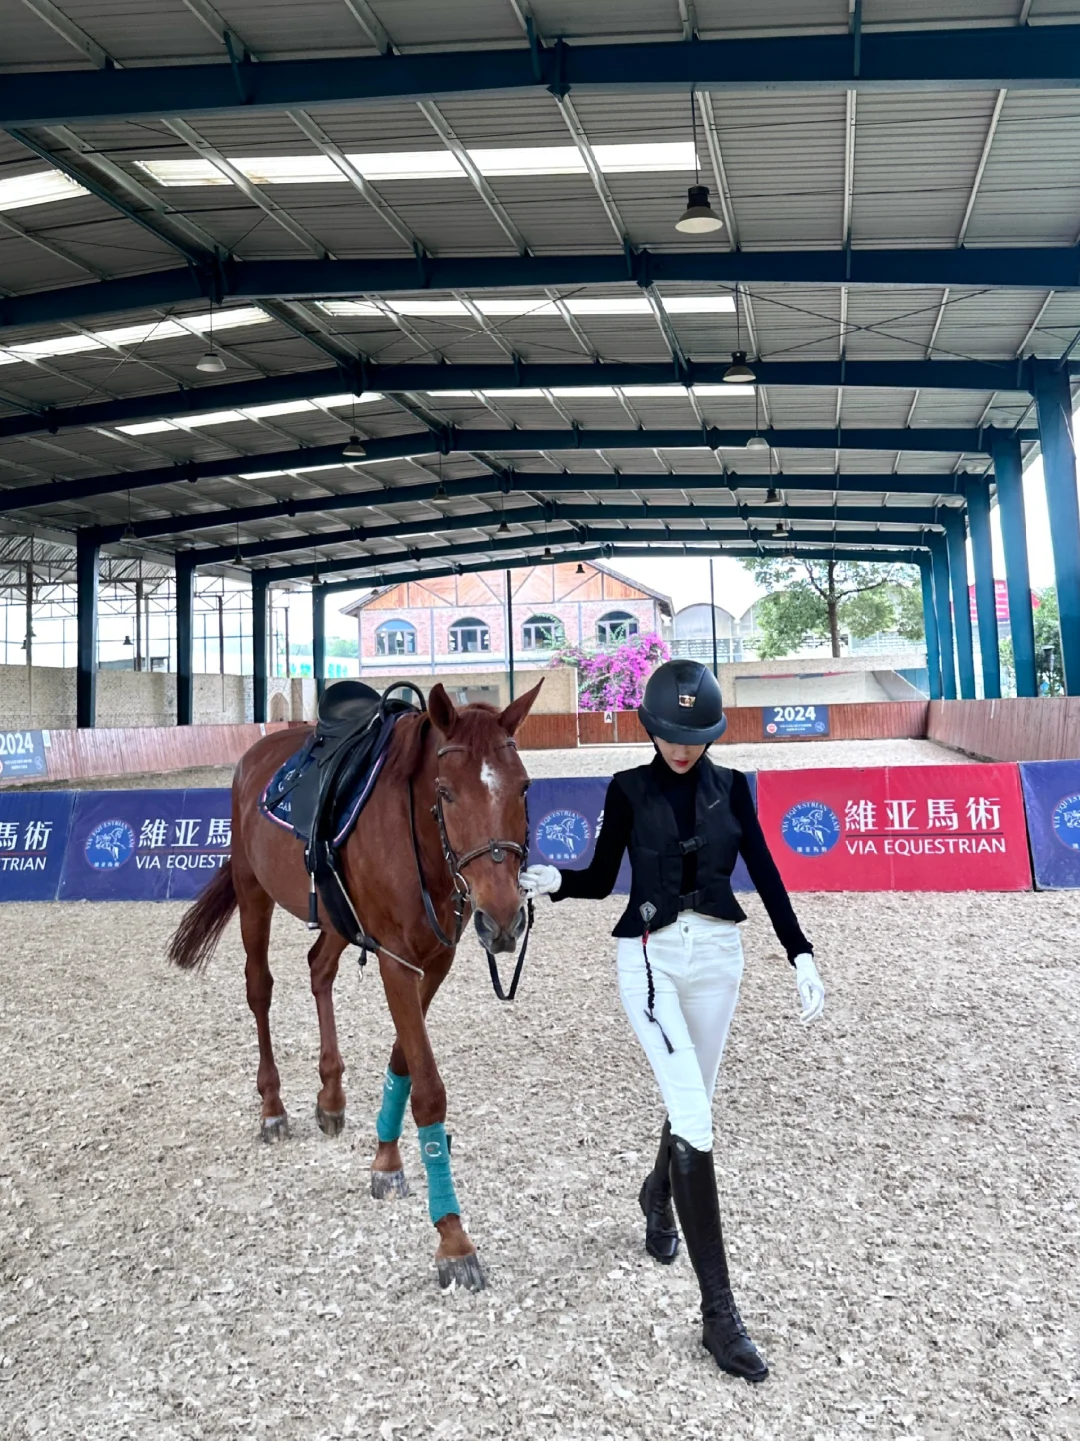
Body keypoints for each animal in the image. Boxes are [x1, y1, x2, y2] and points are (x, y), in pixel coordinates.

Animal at [167, 680, 542, 1291]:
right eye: (446, 792)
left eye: (524, 787)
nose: (504, 920)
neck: (421, 840)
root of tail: (255, 754)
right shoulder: (398, 963)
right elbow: (429, 1090)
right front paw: (453, 1238)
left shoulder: (432, 960)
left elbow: (403, 1064)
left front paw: (386, 1160)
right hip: (252, 890)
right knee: (259, 989)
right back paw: (273, 1107)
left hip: (338, 917)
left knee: (319, 968)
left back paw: (331, 1095)